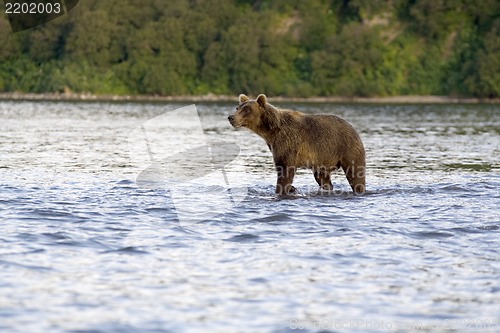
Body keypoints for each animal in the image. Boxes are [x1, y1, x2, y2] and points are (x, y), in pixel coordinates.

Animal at [229, 93, 366, 195]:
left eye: (246, 109)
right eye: (237, 108)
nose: (231, 117)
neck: (270, 131)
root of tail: (353, 128)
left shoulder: (288, 141)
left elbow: (284, 169)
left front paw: (281, 190)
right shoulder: (274, 144)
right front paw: (292, 189)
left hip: (347, 147)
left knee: (355, 173)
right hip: (323, 157)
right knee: (322, 177)